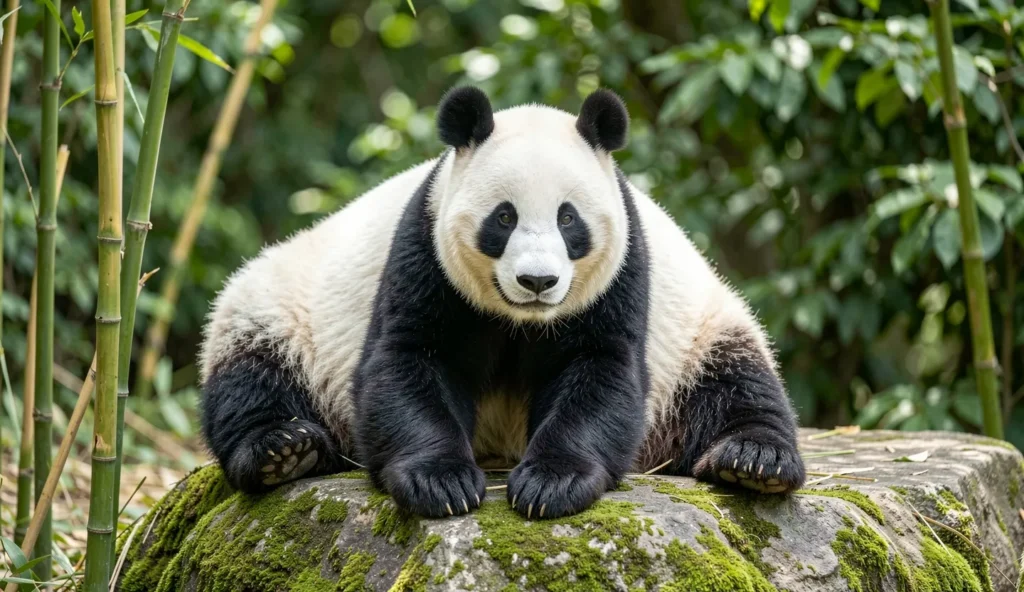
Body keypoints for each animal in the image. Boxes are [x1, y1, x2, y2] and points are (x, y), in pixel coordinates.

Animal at [199, 86, 805, 520]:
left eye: (568, 219)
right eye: (504, 217)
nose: (537, 281)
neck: (523, 322)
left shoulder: (623, 276)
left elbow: (601, 372)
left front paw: (551, 484)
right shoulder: (423, 253)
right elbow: (407, 362)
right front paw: (441, 483)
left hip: (701, 326)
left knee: (737, 381)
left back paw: (753, 461)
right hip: (283, 303)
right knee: (252, 372)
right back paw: (285, 450)